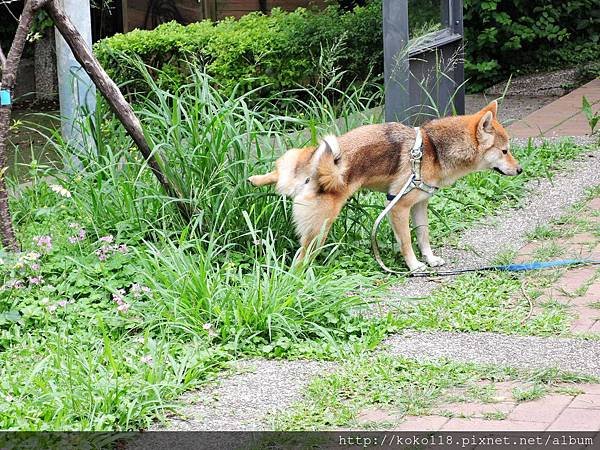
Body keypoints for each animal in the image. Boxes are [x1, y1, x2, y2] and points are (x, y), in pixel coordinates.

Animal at [248, 101, 520, 270]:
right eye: (505, 151)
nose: (520, 170)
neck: (433, 148)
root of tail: (314, 169)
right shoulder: (399, 207)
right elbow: (407, 242)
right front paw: (414, 266)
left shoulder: (420, 204)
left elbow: (423, 237)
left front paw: (430, 259)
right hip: (319, 230)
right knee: (300, 259)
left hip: (297, 165)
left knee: (280, 172)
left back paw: (255, 180)